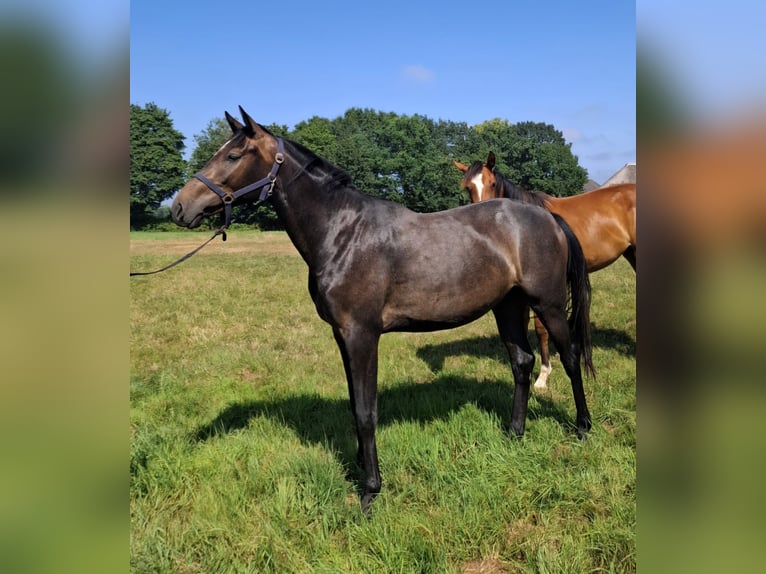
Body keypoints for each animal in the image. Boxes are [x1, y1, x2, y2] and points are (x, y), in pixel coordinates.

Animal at [171, 107, 595, 514]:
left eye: (233, 155)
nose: (179, 207)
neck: (343, 233)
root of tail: (547, 217)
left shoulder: (362, 335)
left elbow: (366, 411)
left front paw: (370, 492)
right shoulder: (342, 336)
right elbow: (354, 404)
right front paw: (360, 465)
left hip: (548, 305)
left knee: (571, 357)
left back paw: (582, 427)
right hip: (508, 307)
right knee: (521, 362)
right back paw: (514, 433)